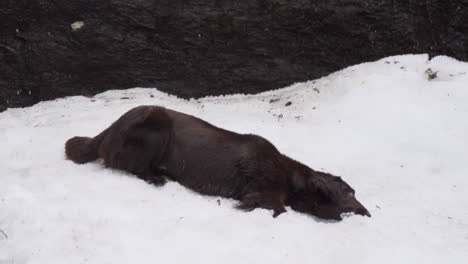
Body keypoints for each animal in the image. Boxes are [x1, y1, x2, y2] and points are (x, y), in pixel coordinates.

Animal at [64, 104, 370, 219]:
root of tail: (107, 131)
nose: (367, 212)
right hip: (156, 123)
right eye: (351, 192)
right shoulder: (263, 183)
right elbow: (276, 206)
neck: (290, 177)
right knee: (132, 167)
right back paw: (158, 177)